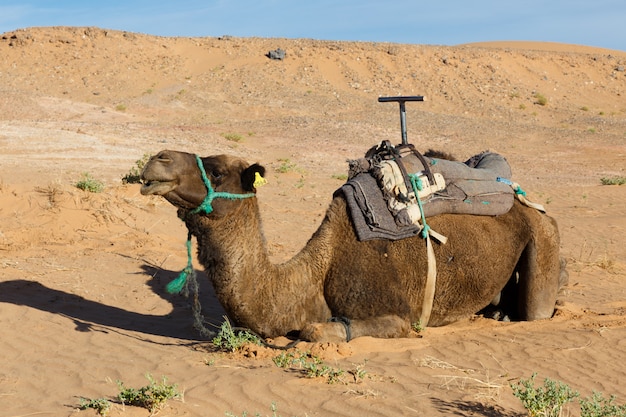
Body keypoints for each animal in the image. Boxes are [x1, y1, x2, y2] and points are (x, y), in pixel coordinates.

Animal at [141, 150, 564, 342]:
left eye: (215, 171)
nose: (156, 160)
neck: (317, 275)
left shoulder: (400, 316)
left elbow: (314, 331)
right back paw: (497, 311)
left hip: (543, 233)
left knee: (538, 307)